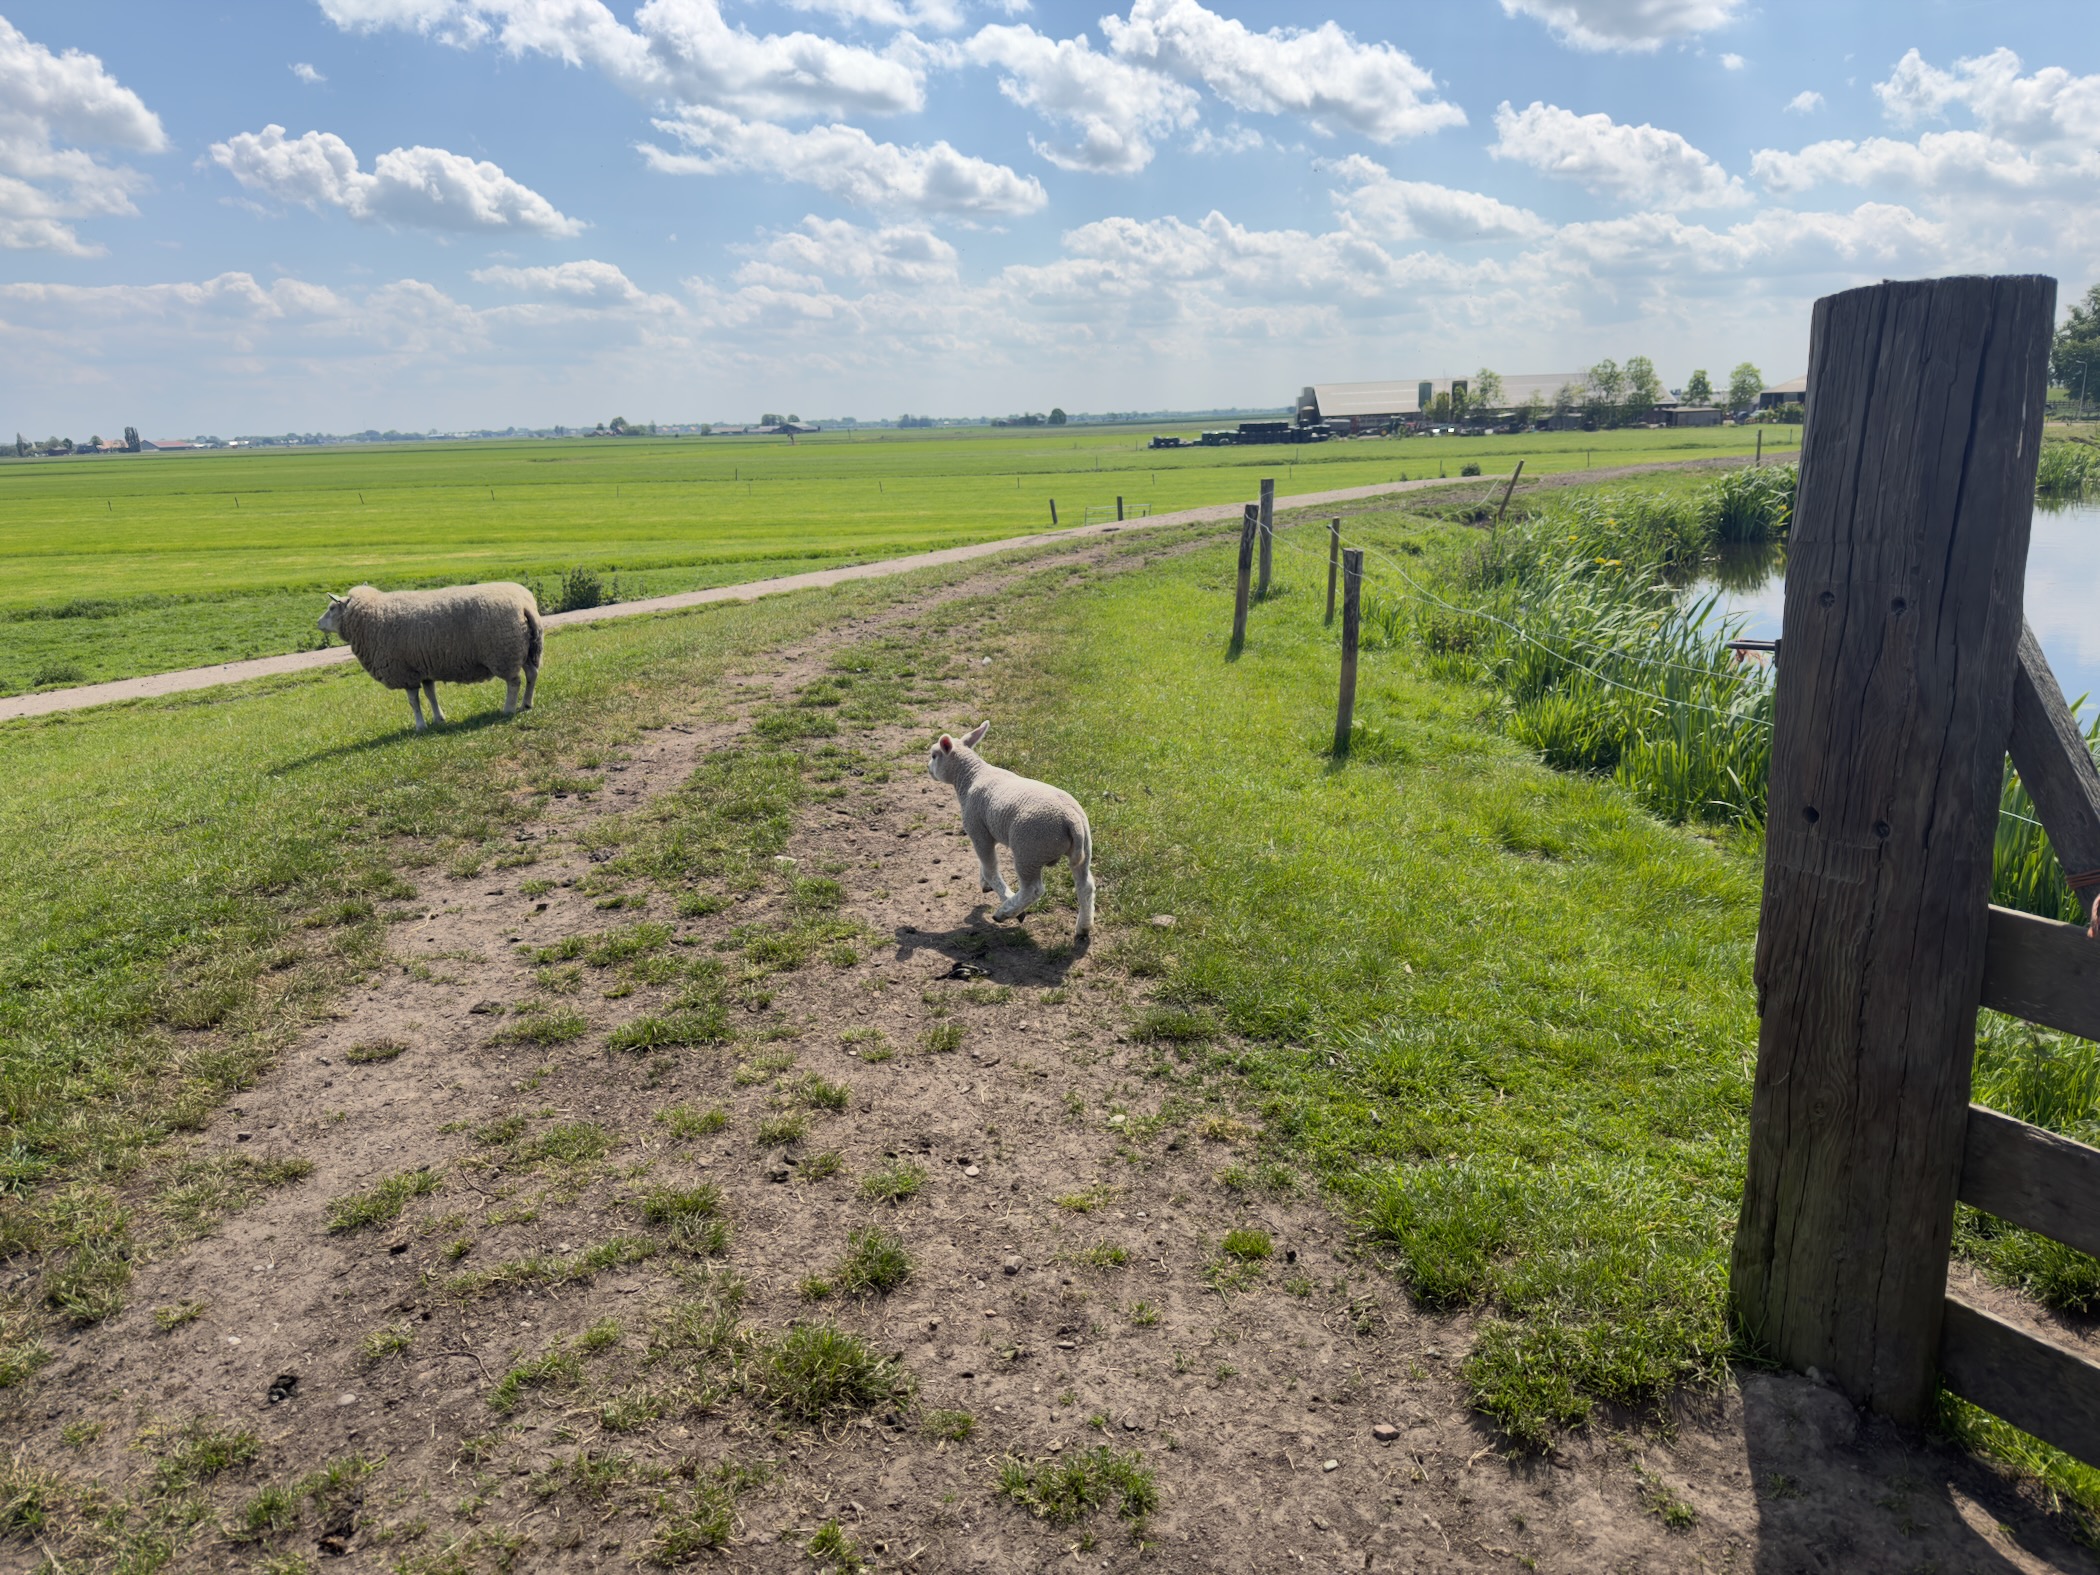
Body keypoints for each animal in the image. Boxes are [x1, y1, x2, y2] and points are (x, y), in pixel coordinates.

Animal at [317, 582, 542, 732]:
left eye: (331, 608)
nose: (318, 623)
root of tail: (524, 603)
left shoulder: (405, 672)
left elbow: (413, 701)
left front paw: (420, 726)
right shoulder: (423, 668)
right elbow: (430, 694)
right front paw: (438, 719)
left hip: (504, 653)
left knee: (514, 682)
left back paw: (508, 709)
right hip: (526, 648)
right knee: (532, 674)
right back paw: (526, 704)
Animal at [926, 720, 1094, 938]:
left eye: (934, 755)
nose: (928, 768)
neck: (971, 775)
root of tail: (1073, 820)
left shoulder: (978, 830)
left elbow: (991, 869)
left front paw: (1001, 895)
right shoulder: (989, 831)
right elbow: (984, 864)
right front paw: (984, 884)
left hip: (1029, 850)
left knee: (1034, 889)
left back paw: (1005, 912)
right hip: (1084, 848)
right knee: (1086, 886)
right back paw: (1084, 926)